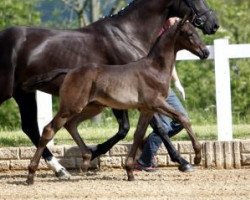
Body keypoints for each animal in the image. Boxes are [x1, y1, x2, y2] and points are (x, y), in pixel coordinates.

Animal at [0, 0, 219, 175]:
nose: (214, 24)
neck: (128, 34)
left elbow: (129, 129)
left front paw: (94, 153)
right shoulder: (139, 99)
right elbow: (156, 127)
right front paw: (184, 161)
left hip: (26, 93)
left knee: (32, 126)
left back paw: (60, 169)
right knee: (42, 127)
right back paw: (58, 168)